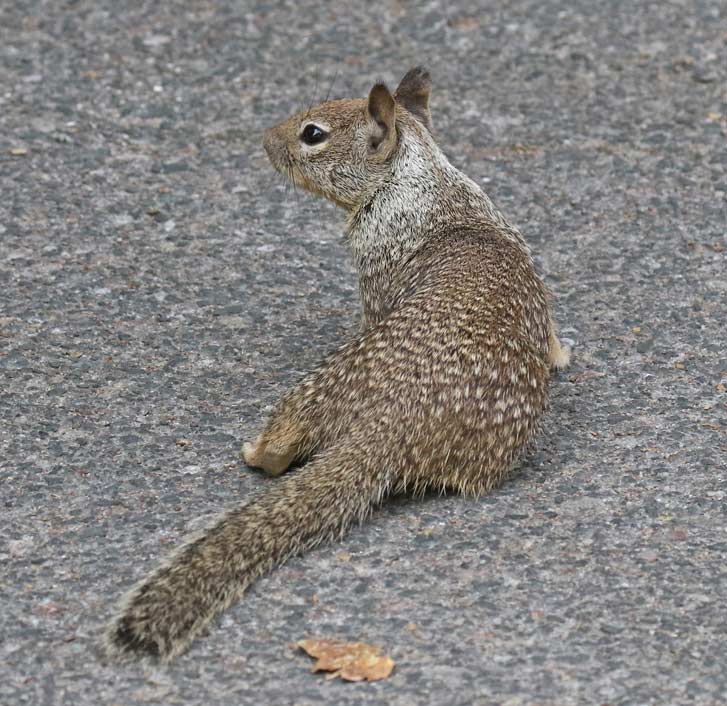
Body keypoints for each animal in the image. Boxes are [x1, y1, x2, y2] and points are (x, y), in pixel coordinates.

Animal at [103, 66, 571, 662]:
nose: (265, 140)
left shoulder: (375, 270)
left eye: (313, 134)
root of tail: (392, 424)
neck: (424, 184)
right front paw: (561, 354)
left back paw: (256, 452)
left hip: (316, 386)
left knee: (285, 439)